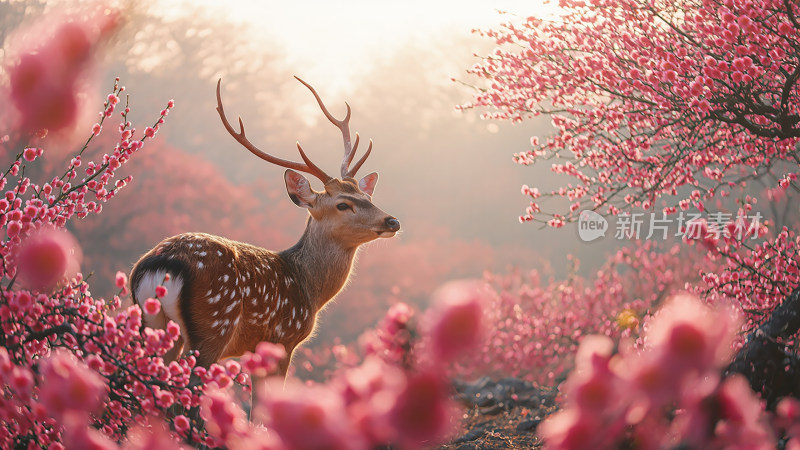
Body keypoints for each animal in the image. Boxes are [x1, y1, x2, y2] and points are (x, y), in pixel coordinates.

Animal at [130, 75, 400, 400]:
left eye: (367, 196)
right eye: (343, 204)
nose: (392, 220)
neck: (309, 290)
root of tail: (161, 265)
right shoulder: (281, 340)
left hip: (152, 326)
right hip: (213, 325)